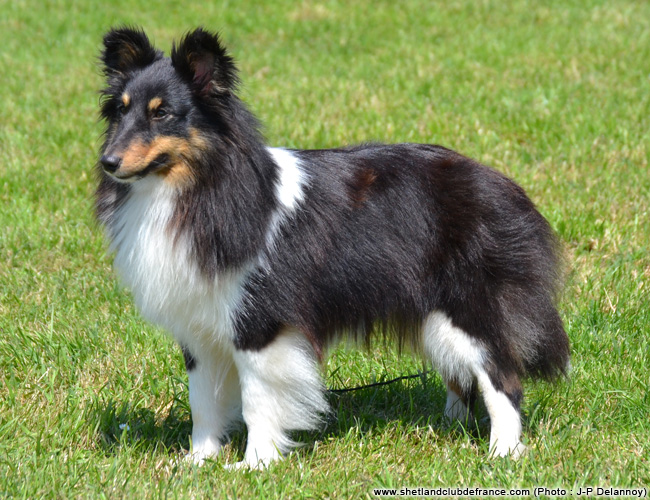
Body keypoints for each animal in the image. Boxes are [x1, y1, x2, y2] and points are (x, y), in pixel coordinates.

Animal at [95, 25, 568, 466]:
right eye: (121, 111)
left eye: (162, 114)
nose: (108, 162)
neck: (198, 186)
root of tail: (504, 187)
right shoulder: (199, 326)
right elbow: (203, 402)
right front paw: (198, 462)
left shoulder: (259, 325)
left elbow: (257, 401)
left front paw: (254, 465)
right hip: (429, 312)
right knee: (462, 376)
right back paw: (451, 426)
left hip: (467, 309)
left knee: (502, 378)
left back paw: (502, 452)